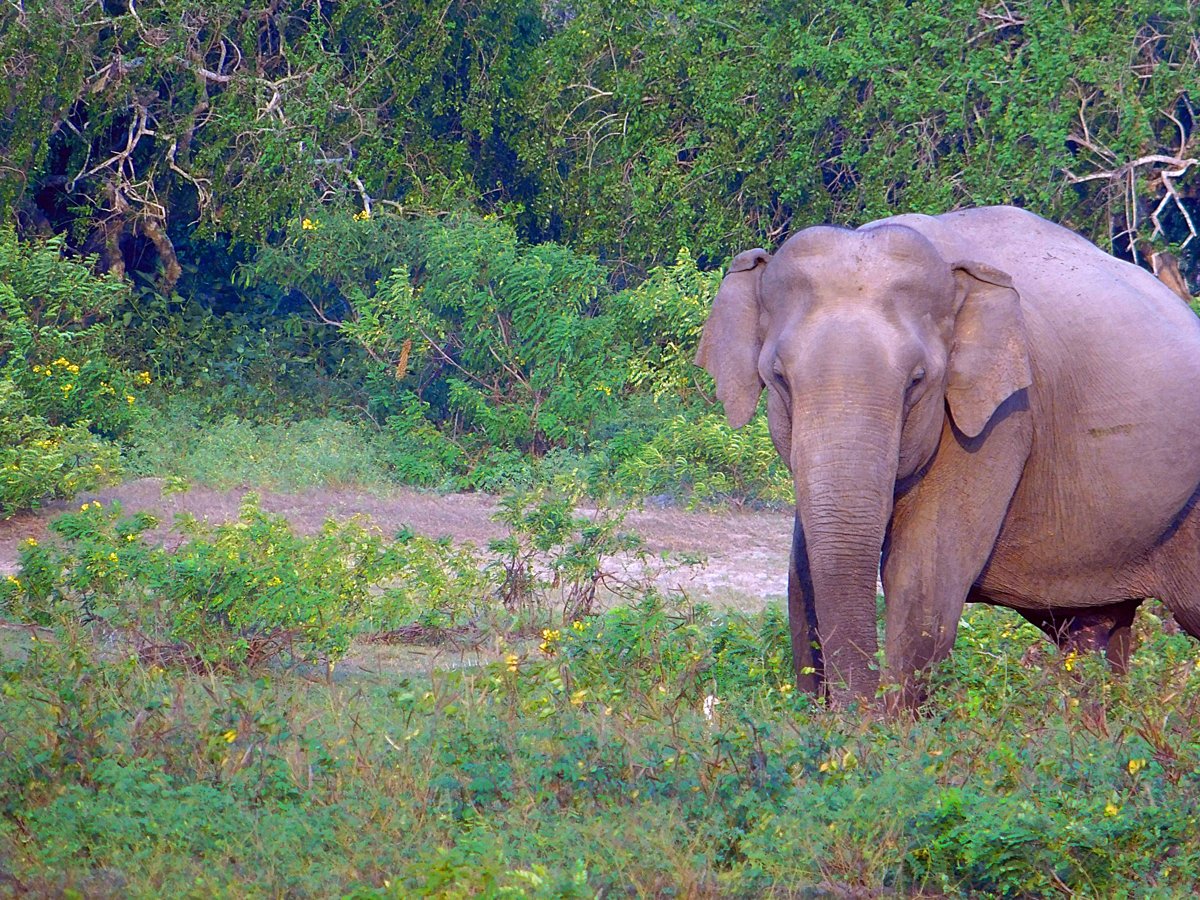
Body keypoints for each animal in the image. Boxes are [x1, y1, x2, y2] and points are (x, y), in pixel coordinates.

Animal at [695, 205, 1200, 707]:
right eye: (779, 377)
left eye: (917, 380)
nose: (853, 709)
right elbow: (801, 578)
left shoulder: (1000, 419)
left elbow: (921, 577)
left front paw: (882, 724)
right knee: (1093, 636)